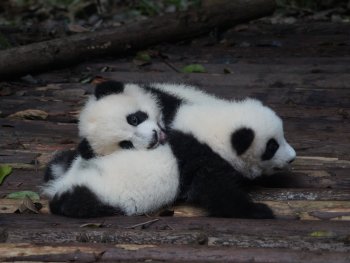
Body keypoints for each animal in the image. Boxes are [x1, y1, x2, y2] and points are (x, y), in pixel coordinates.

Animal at [139, 82, 296, 219]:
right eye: (272, 147)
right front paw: (258, 210)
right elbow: (216, 191)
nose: (292, 158)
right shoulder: (199, 158)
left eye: (283, 136)